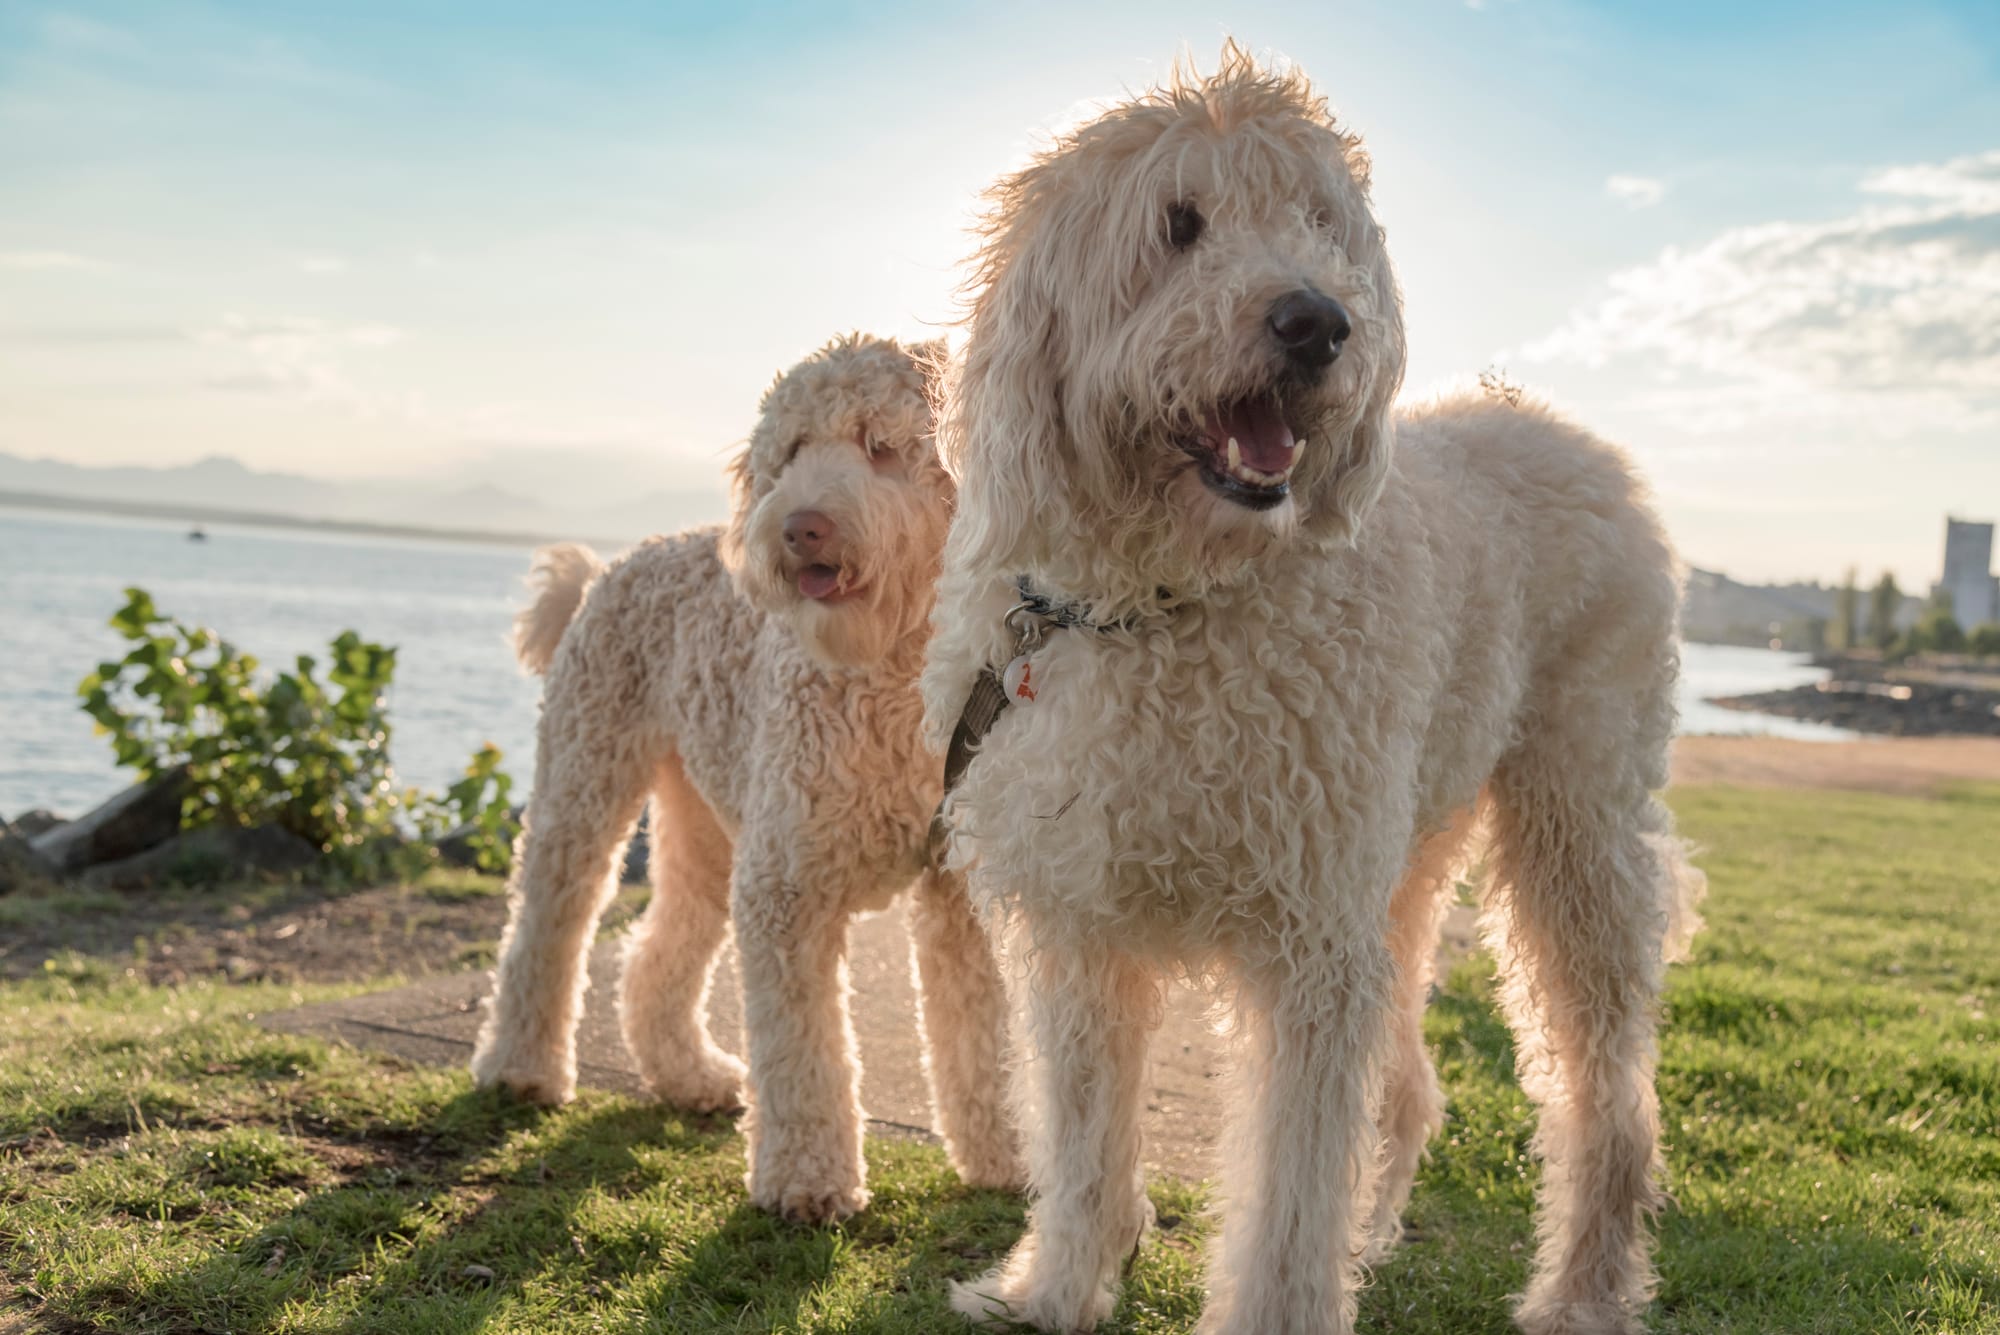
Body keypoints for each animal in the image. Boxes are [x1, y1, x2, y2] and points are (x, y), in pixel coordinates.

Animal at [476, 331, 1024, 1223]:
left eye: (881, 445)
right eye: (791, 452)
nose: (801, 527)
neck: (892, 672)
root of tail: (620, 562)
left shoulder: (957, 886)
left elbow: (980, 1037)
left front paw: (1006, 1157)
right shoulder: (787, 887)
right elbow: (805, 1053)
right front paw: (808, 1178)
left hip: (703, 824)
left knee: (657, 950)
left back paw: (688, 1075)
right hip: (585, 779)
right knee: (548, 924)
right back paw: (521, 1067)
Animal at [924, 44, 1704, 1335]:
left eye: (1317, 224)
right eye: (1177, 224)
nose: (1319, 323)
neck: (1162, 607)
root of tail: (1555, 428)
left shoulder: (1305, 950)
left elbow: (1287, 1195)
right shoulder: (1083, 929)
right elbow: (1082, 1136)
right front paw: (1058, 1286)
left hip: (1571, 829)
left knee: (1606, 1093)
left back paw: (1585, 1286)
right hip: (1405, 849)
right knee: (1407, 1085)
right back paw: (1379, 1231)